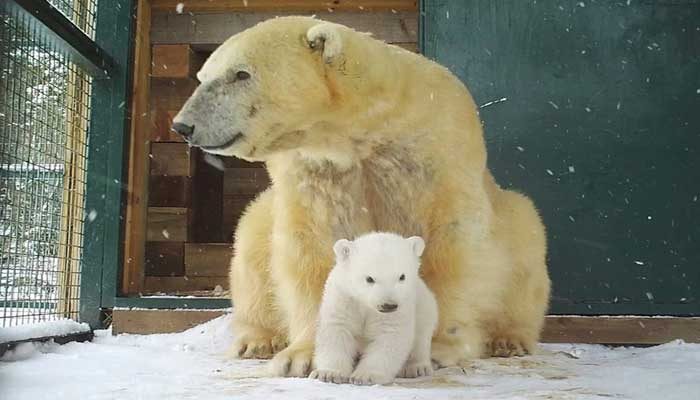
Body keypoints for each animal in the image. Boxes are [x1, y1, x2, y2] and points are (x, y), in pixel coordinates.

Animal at [172, 16, 548, 378]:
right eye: (202, 76)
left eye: (241, 73)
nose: (183, 126)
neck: (364, 130)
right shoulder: (316, 172)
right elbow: (311, 249)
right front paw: (301, 356)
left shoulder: (439, 153)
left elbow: (451, 247)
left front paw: (437, 346)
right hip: (263, 218)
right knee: (251, 242)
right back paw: (256, 341)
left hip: (515, 221)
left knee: (525, 250)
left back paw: (510, 339)